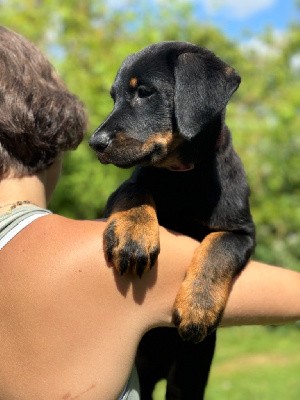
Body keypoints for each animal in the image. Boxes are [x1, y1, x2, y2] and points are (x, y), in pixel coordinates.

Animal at [89, 41, 255, 400]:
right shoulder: (125, 189)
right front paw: (134, 236)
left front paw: (197, 306)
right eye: (114, 97)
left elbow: (217, 247)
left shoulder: (242, 233)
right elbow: (136, 190)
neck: (183, 178)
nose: (95, 143)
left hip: (188, 376)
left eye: (144, 92)